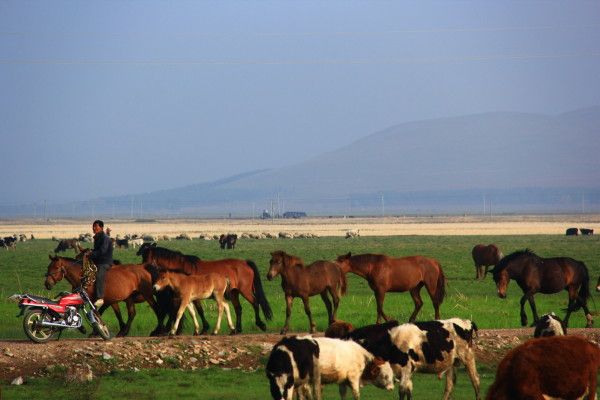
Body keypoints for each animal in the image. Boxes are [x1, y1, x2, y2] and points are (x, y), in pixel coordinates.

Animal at [138, 242, 272, 332]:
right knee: (238, 309)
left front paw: (203, 328)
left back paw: (261, 324)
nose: (142, 268)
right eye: (143, 256)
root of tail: (245, 263)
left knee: (255, 303)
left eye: (146, 257)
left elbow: (197, 310)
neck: (182, 268)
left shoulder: (192, 296)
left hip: (245, 290)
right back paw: (237, 329)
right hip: (234, 293)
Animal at [346, 318, 478, 400]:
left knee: (475, 381)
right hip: (451, 363)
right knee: (449, 386)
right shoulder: (405, 372)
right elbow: (409, 391)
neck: (390, 340)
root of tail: (466, 321)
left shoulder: (406, 368)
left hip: (468, 357)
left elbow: (402, 391)